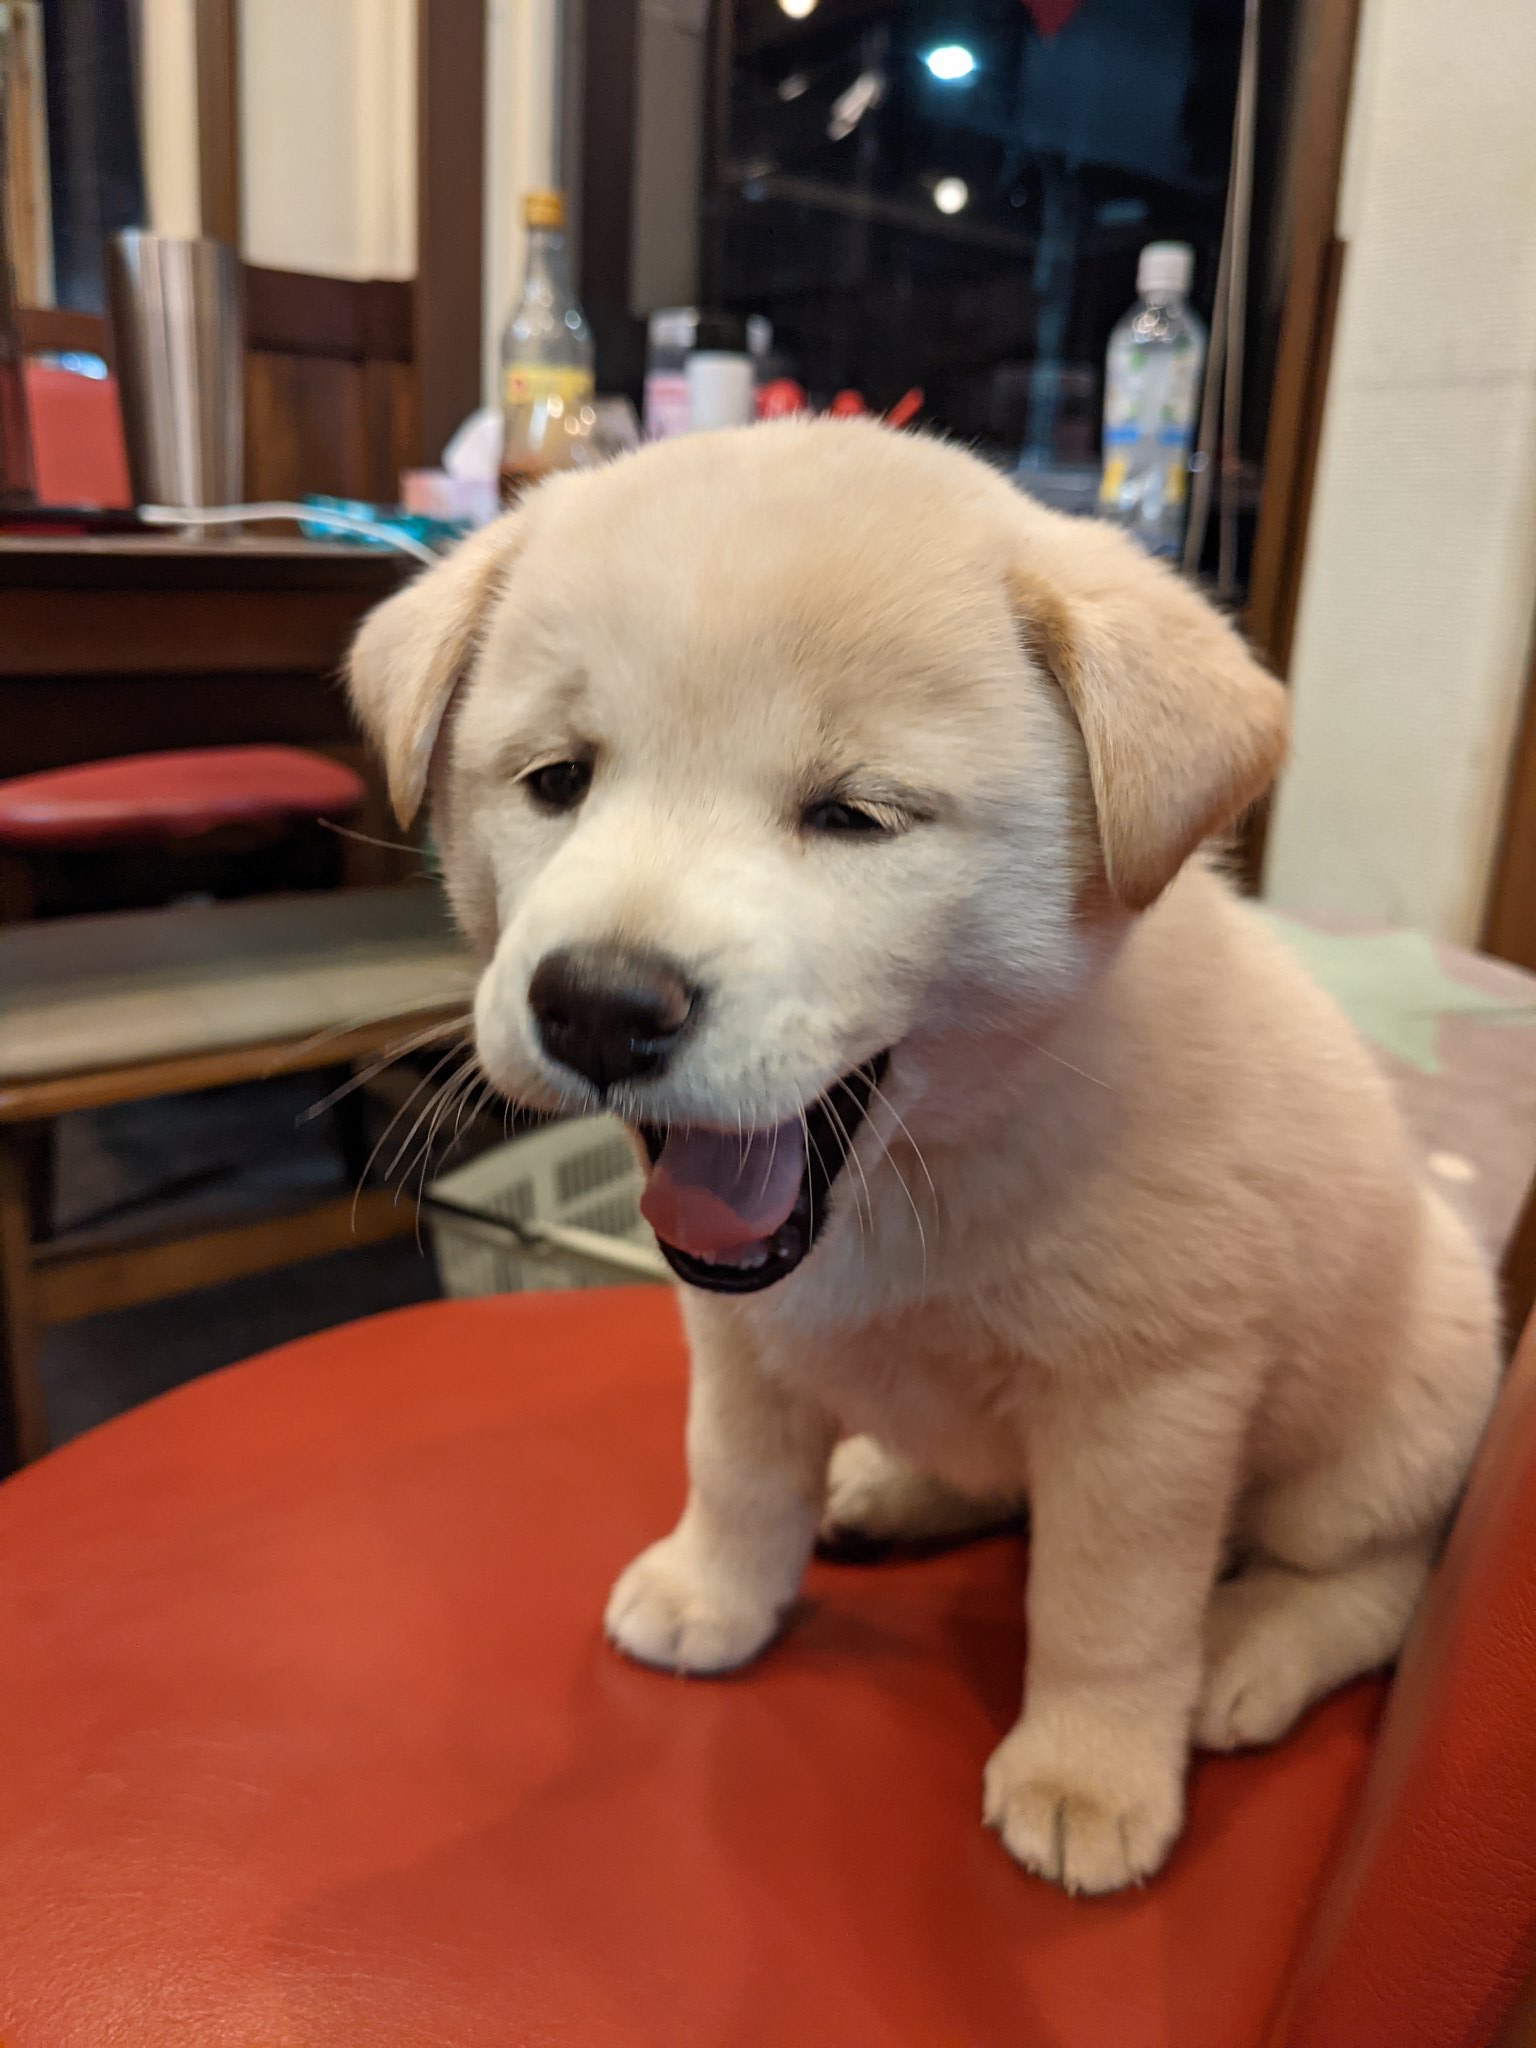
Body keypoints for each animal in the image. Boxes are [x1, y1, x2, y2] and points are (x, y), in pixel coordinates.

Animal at [348, 423, 1507, 1892]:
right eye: (558, 778)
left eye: (856, 814)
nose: (600, 1005)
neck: (913, 1183)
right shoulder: (738, 1337)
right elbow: (736, 1473)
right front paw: (716, 1591)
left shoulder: (1151, 1405)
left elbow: (1107, 1606)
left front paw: (1090, 1769)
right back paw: (890, 1486)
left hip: (1393, 1418)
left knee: (1378, 1576)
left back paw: (1251, 1648)